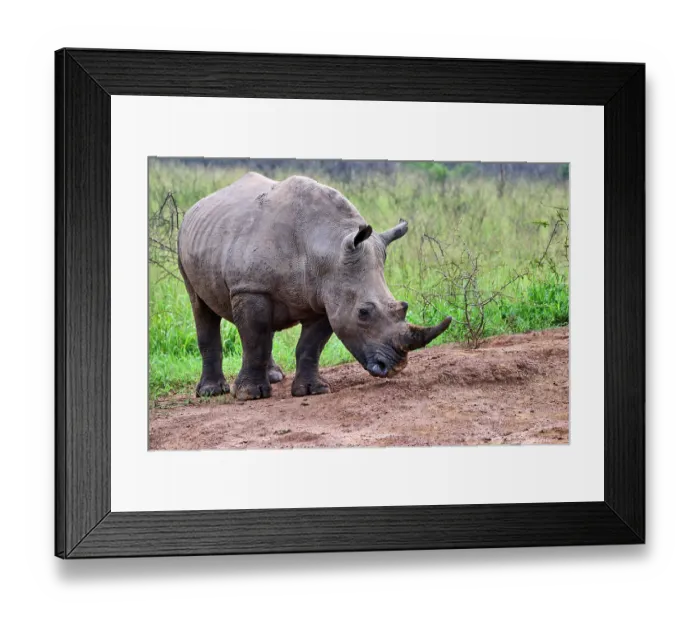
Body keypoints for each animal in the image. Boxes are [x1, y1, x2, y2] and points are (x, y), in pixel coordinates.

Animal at [177, 172, 452, 400]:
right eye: (363, 313)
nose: (395, 367)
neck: (327, 245)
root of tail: (195, 207)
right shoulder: (250, 287)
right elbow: (255, 340)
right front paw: (249, 395)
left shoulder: (327, 297)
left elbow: (309, 346)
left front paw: (312, 391)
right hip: (186, 243)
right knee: (200, 306)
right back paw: (211, 392)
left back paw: (275, 377)